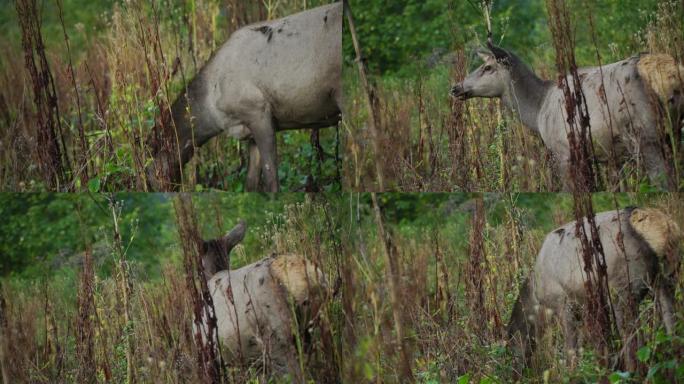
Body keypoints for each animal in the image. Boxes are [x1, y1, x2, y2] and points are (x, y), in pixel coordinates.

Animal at [149, 3, 342, 192]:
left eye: (150, 169)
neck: (214, 113)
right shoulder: (249, 132)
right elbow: (250, 185)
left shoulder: (258, 111)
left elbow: (271, 181)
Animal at [448, 42, 684, 191]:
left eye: (487, 67)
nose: (455, 87)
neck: (537, 110)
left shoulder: (563, 151)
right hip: (672, 133)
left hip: (647, 135)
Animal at [504, 208, 680, 374]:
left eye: (511, 343)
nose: (515, 375)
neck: (537, 302)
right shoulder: (586, 308)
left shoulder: (563, 304)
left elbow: (571, 350)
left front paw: (572, 374)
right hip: (667, 279)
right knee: (672, 331)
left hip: (624, 291)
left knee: (634, 342)